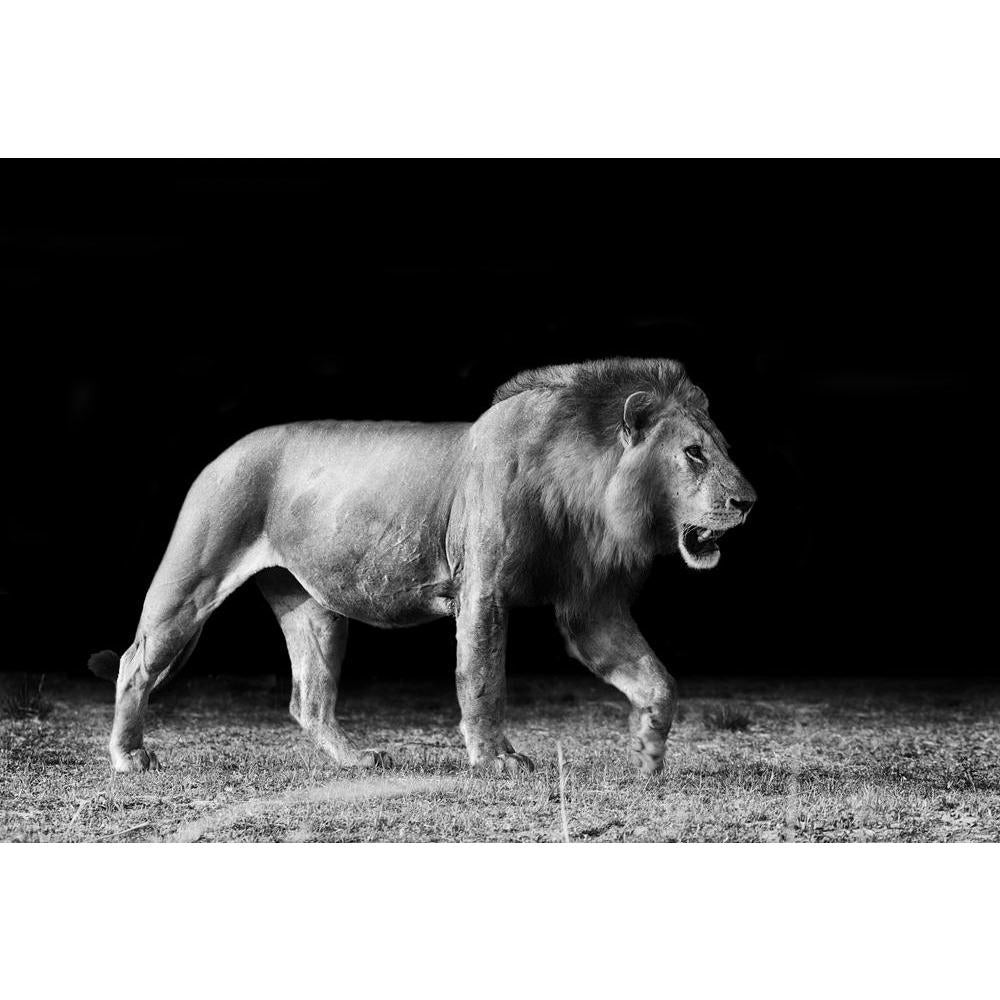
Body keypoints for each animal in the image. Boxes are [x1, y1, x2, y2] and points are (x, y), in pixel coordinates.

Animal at [89, 357, 756, 776]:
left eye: (722, 449)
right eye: (694, 454)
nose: (748, 502)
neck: (588, 489)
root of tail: (222, 453)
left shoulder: (592, 608)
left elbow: (658, 680)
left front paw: (647, 751)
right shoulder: (482, 588)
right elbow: (483, 678)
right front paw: (495, 760)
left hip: (315, 608)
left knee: (309, 700)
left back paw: (358, 760)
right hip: (191, 579)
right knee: (134, 663)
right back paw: (129, 757)